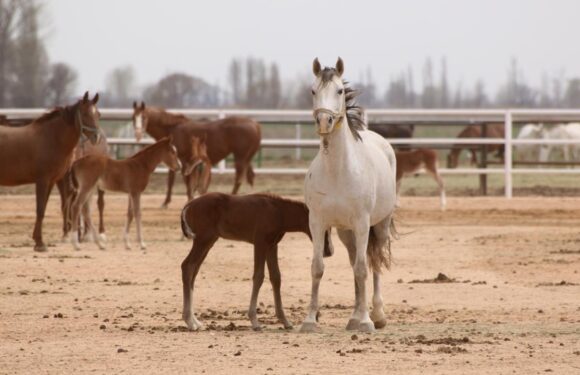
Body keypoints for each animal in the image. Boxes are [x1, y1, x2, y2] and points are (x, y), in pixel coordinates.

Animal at [0, 92, 101, 253]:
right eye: (85, 114)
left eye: (98, 114)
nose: (96, 137)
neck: (51, 138)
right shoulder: (42, 181)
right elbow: (40, 209)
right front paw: (40, 244)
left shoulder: (52, 181)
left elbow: (44, 209)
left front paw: (37, 240)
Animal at [133, 103, 262, 206]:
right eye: (133, 117)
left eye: (144, 117)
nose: (138, 134)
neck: (173, 128)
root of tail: (255, 124)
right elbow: (173, 180)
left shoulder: (182, 160)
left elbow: (182, 181)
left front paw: (168, 202)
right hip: (247, 158)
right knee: (250, 177)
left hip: (240, 157)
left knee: (239, 179)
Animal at [181, 194, 336, 332]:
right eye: (325, 229)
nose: (329, 251)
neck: (278, 211)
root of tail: (189, 205)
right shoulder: (260, 243)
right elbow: (259, 276)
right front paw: (255, 321)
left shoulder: (272, 246)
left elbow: (276, 277)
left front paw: (285, 321)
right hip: (203, 240)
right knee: (187, 266)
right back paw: (190, 322)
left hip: (209, 241)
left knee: (193, 270)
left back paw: (194, 321)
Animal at [302, 57, 396, 334]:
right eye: (313, 91)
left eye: (340, 91)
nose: (324, 121)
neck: (337, 171)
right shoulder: (317, 223)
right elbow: (317, 267)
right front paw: (309, 321)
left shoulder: (363, 224)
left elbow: (363, 269)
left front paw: (366, 321)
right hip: (346, 232)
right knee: (355, 259)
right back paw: (354, 316)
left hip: (379, 225)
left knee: (373, 262)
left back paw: (376, 315)